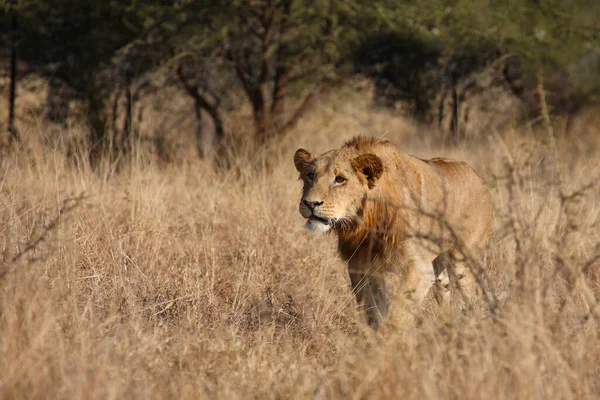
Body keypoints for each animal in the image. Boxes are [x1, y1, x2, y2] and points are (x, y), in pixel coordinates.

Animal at [292, 138, 494, 328]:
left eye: (340, 179)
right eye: (310, 175)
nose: (310, 203)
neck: (367, 220)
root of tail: (477, 176)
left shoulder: (419, 267)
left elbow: (398, 315)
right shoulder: (361, 264)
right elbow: (373, 311)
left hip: (463, 261)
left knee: (467, 300)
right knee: (443, 287)